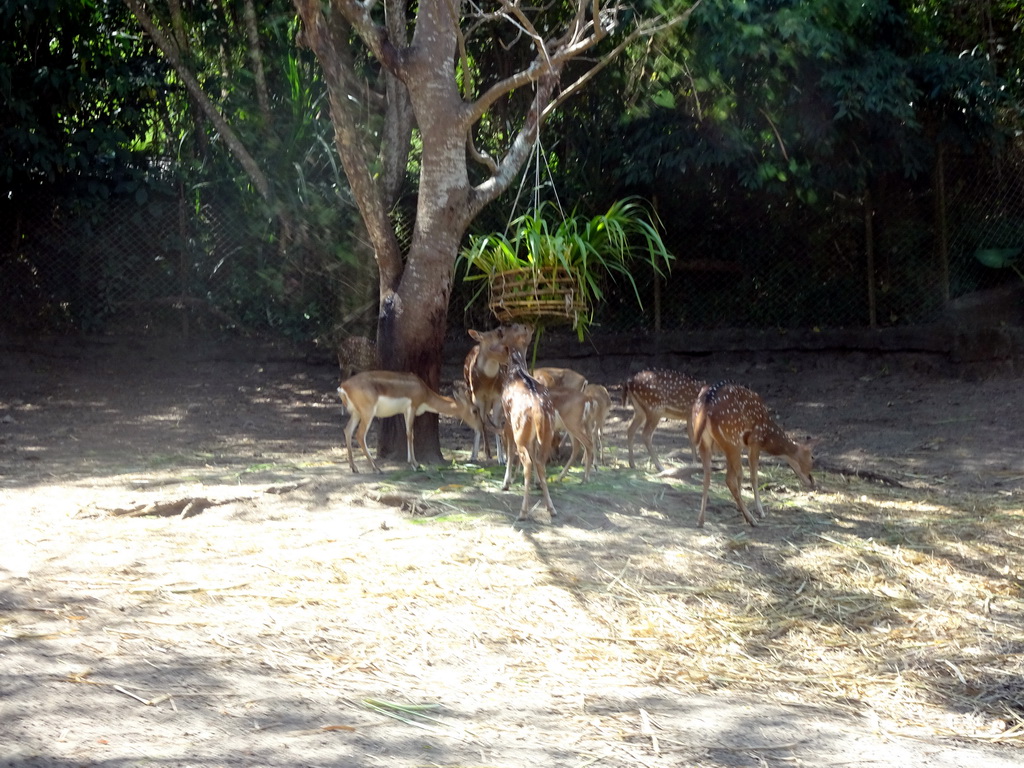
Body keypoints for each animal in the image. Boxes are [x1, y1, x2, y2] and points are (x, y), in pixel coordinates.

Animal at [335, 372, 479, 475]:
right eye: (475, 410)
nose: (479, 427)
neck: (424, 392)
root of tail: (343, 387)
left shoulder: (405, 411)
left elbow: (408, 433)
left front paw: (415, 463)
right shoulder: (412, 408)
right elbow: (410, 434)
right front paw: (415, 464)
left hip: (356, 413)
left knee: (347, 430)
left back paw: (354, 467)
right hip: (367, 412)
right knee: (359, 435)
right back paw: (376, 469)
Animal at [460, 323, 532, 460]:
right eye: (499, 333)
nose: (510, 354)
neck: (487, 382)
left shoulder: (498, 397)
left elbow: (496, 423)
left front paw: (501, 458)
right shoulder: (477, 396)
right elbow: (480, 423)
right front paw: (475, 456)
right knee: (482, 419)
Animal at [499, 348, 557, 524]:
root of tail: (538, 409)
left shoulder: (508, 420)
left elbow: (510, 450)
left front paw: (506, 483)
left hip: (520, 430)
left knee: (528, 462)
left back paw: (523, 512)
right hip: (547, 433)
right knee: (540, 461)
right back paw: (551, 508)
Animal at [688, 380, 815, 528]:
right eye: (812, 458)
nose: (812, 481)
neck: (768, 435)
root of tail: (705, 407)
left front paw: (739, 508)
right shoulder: (755, 441)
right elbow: (753, 476)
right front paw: (760, 511)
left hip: (708, 443)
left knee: (707, 477)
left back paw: (700, 520)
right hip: (732, 439)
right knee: (731, 478)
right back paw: (751, 519)